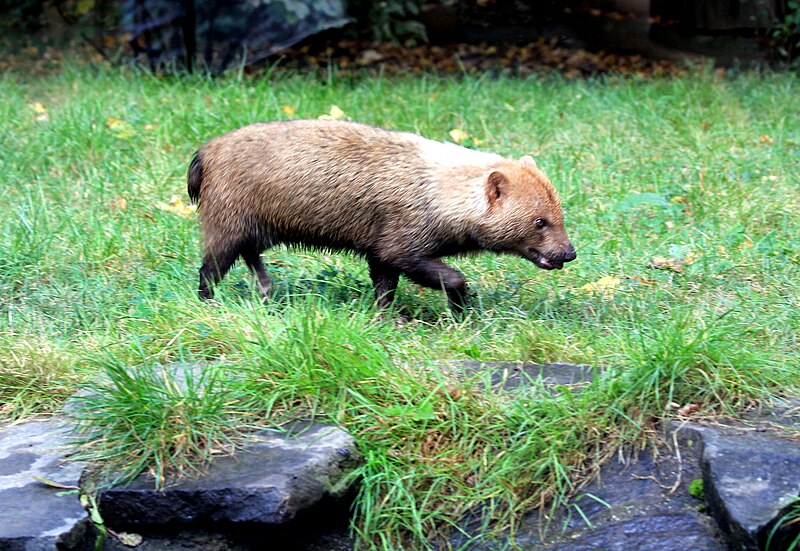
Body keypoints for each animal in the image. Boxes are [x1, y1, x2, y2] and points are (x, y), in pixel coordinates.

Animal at [188, 119, 576, 310]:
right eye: (539, 221)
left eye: (560, 212)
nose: (570, 253)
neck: (435, 190)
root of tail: (205, 152)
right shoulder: (400, 248)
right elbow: (453, 278)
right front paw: (461, 308)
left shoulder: (380, 252)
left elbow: (384, 289)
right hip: (226, 226)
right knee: (210, 270)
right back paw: (208, 305)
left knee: (251, 258)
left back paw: (268, 291)